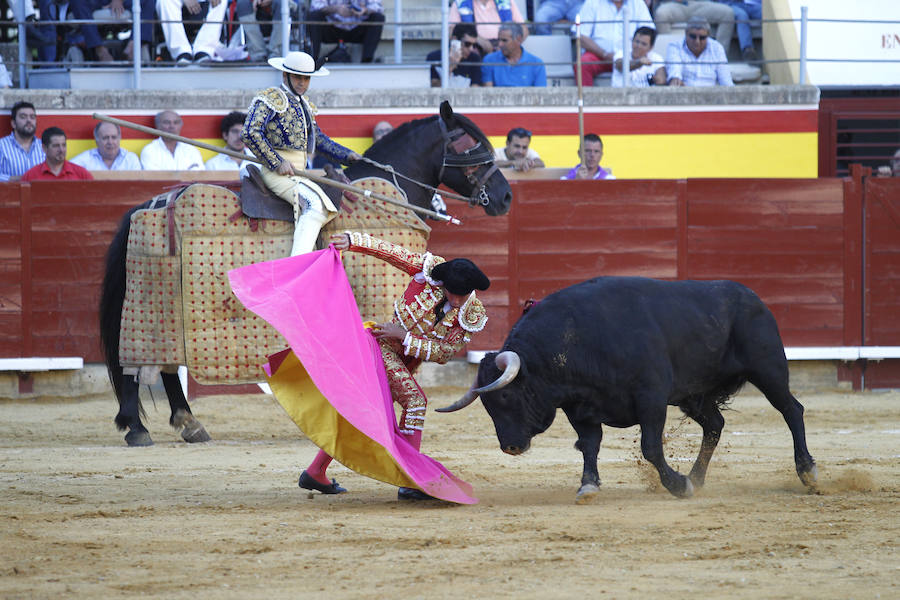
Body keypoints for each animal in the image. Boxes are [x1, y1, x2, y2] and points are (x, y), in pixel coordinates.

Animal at [99, 101, 512, 446]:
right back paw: (139, 428)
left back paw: (187, 424)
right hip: (156, 303)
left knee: (162, 365)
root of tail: (153, 202)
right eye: (472, 147)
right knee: (143, 361)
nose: (505, 196)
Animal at [436, 276, 816, 502]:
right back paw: (697, 477)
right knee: (715, 425)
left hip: (768, 369)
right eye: (487, 405)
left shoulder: (651, 400)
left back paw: (807, 472)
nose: (510, 447)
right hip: (694, 395)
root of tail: (751, 296)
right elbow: (589, 445)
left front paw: (676, 485)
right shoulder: (580, 407)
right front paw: (588, 485)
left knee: (791, 410)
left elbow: (650, 447)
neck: (579, 339)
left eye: (505, 395)